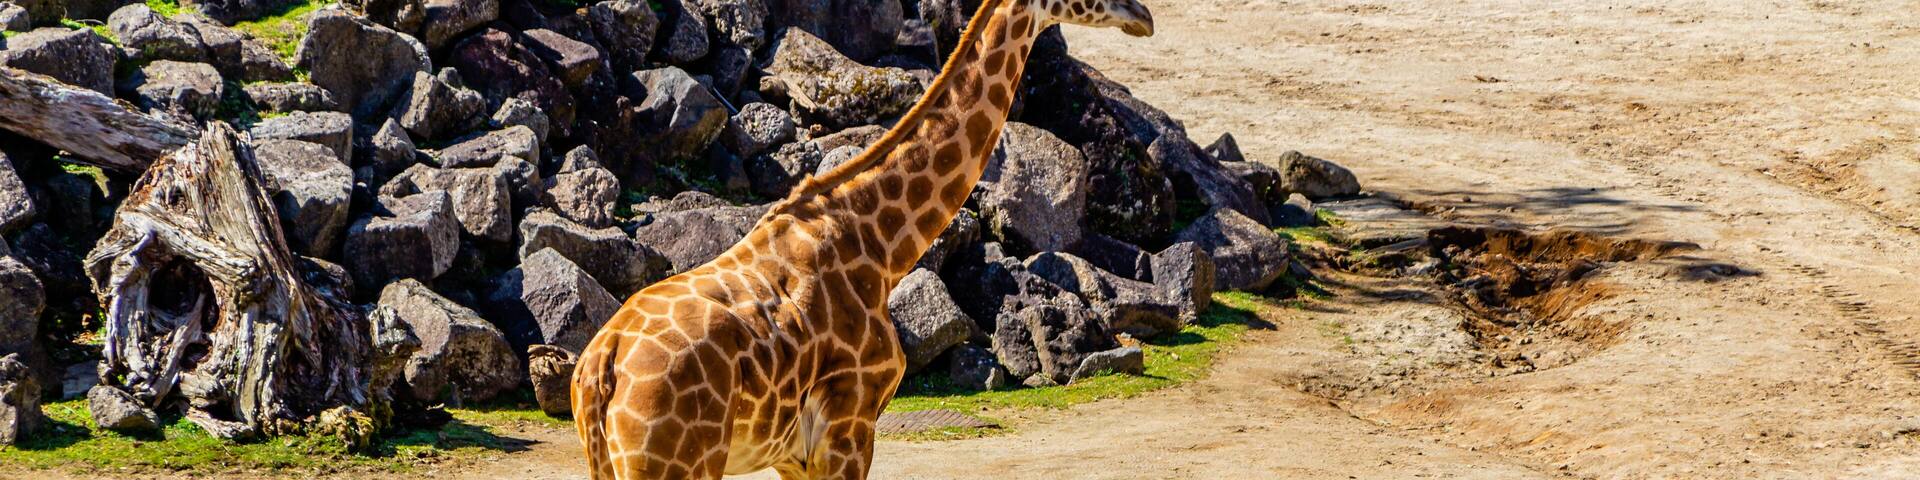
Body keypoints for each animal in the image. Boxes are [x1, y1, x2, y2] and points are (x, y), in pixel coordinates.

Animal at [570, 0, 1154, 478]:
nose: (1144, 17)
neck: (881, 245)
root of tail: (600, 366)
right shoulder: (850, 427)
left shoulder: (795, 455)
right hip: (678, 463)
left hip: (615, 464)